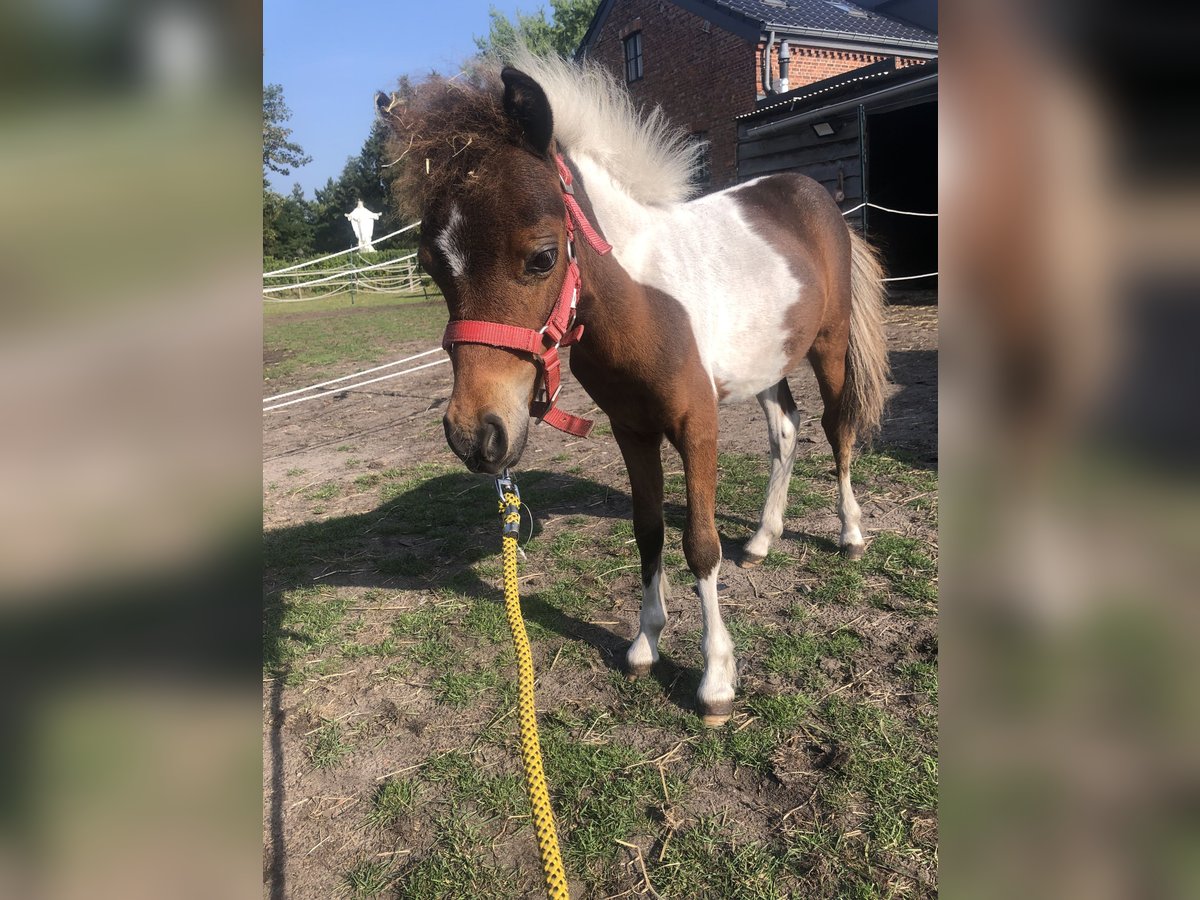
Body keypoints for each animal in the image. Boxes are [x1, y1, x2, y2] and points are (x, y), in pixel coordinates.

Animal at [376, 56, 892, 729]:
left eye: (543, 257)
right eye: (433, 267)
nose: (475, 436)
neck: (640, 303)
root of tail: (816, 196)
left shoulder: (697, 424)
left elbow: (699, 545)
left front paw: (716, 680)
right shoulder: (632, 429)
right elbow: (648, 531)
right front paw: (645, 643)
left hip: (828, 345)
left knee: (837, 428)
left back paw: (850, 535)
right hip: (767, 362)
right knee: (786, 429)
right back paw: (762, 539)